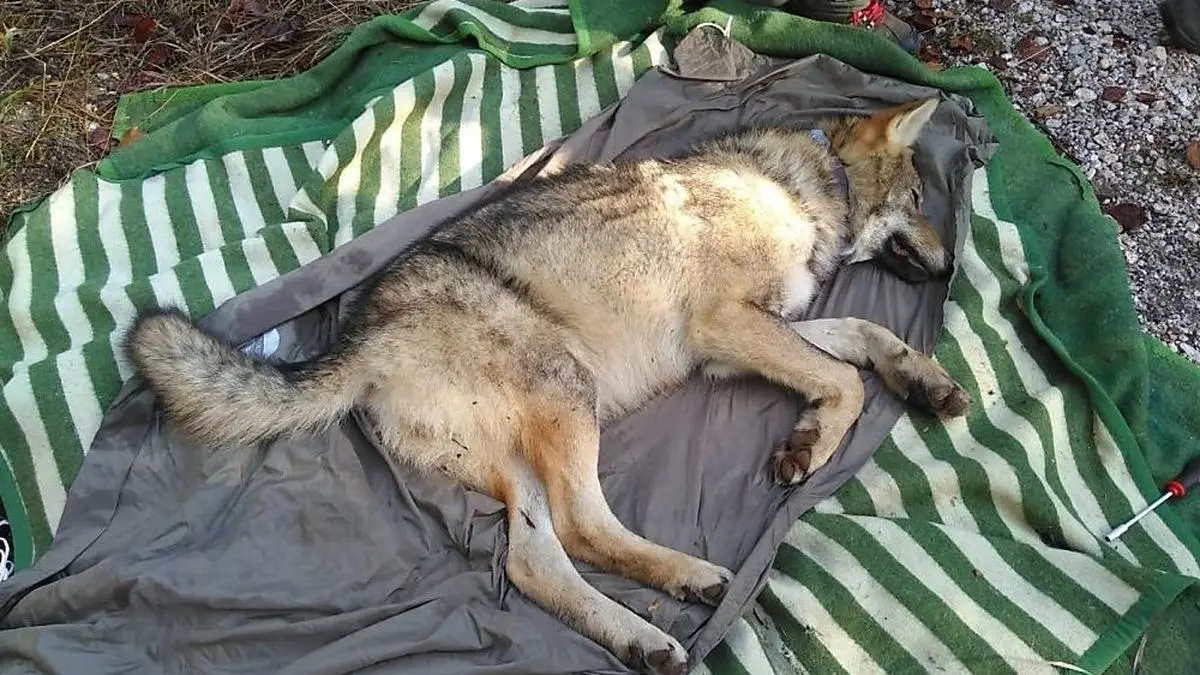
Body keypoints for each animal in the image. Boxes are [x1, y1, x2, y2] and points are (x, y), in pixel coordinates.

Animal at [126, 97, 970, 675]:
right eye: (920, 202)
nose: (953, 266)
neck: (802, 183)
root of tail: (361, 337)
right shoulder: (728, 326)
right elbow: (845, 379)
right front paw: (811, 443)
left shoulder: (748, 340)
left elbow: (861, 335)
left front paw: (923, 377)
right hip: (571, 392)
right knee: (583, 526)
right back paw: (689, 578)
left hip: (516, 459)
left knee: (535, 562)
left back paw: (643, 635)